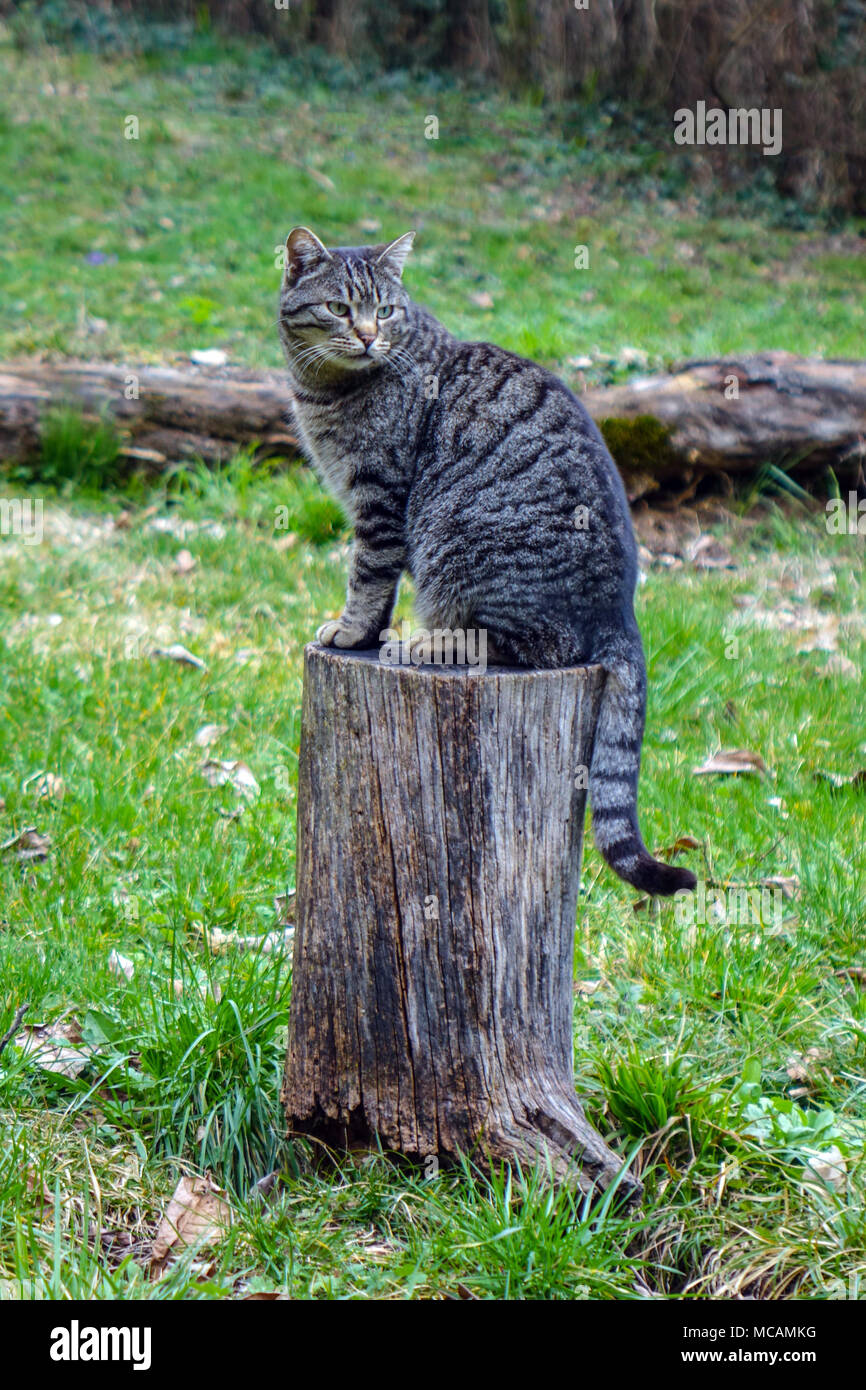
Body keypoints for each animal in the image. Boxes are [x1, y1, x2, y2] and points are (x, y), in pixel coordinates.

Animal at [278, 221, 697, 884]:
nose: (368, 337)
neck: (325, 388)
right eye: (340, 309)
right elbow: (380, 586)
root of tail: (620, 609)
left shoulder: (379, 499)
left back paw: (430, 643)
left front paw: (353, 630)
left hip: (461, 548)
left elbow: (368, 577)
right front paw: (365, 631)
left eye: (385, 311)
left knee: (532, 646)